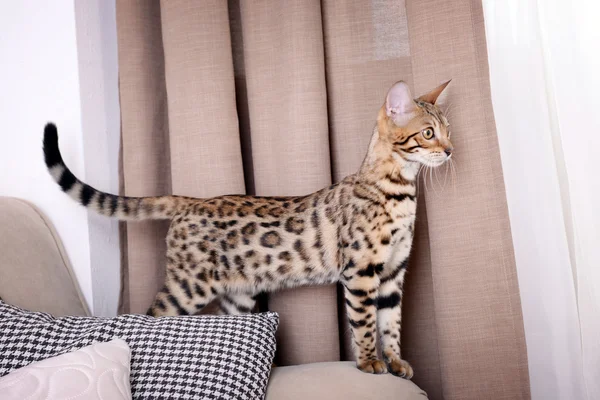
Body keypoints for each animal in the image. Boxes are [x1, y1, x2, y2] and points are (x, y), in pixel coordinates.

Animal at [42, 79, 452, 378]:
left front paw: (397, 362)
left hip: (237, 296)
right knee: (151, 315)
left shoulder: (394, 272)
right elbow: (365, 322)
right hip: (188, 288)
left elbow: (391, 323)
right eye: (428, 133)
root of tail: (190, 201)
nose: (450, 150)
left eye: (448, 130)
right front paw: (369, 362)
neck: (400, 191)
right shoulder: (362, 271)